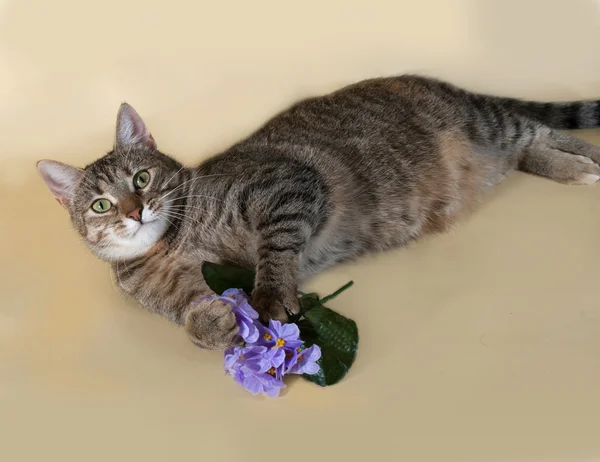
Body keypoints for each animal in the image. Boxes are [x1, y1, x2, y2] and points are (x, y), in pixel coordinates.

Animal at [36, 76, 600, 348]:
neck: (171, 244)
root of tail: (430, 79)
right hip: (489, 154)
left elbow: (275, 251)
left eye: (141, 179)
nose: (135, 211)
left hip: (487, 124)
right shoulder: (184, 291)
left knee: (539, 129)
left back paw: (584, 161)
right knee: (526, 151)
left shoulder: (284, 187)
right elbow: (193, 319)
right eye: (101, 204)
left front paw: (269, 296)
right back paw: (566, 168)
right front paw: (218, 321)